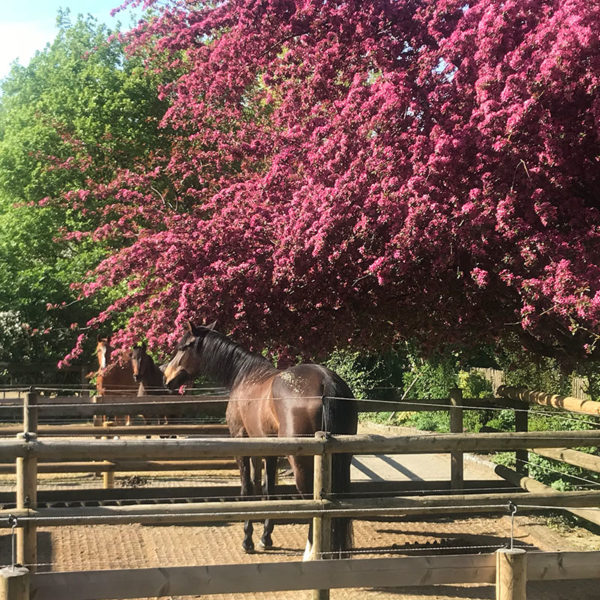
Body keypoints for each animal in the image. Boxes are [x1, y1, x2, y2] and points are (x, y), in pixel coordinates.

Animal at [163, 322, 356, 560]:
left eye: (183, 347)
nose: (167, 377)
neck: (244, 376)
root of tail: (325, 381)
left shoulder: (242, 444)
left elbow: (248, 490)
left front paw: (248, 540)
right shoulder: (268, 451)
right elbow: (267, 490)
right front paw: (266, 537)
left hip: (301, 462)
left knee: (313, 498)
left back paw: (311, 552)